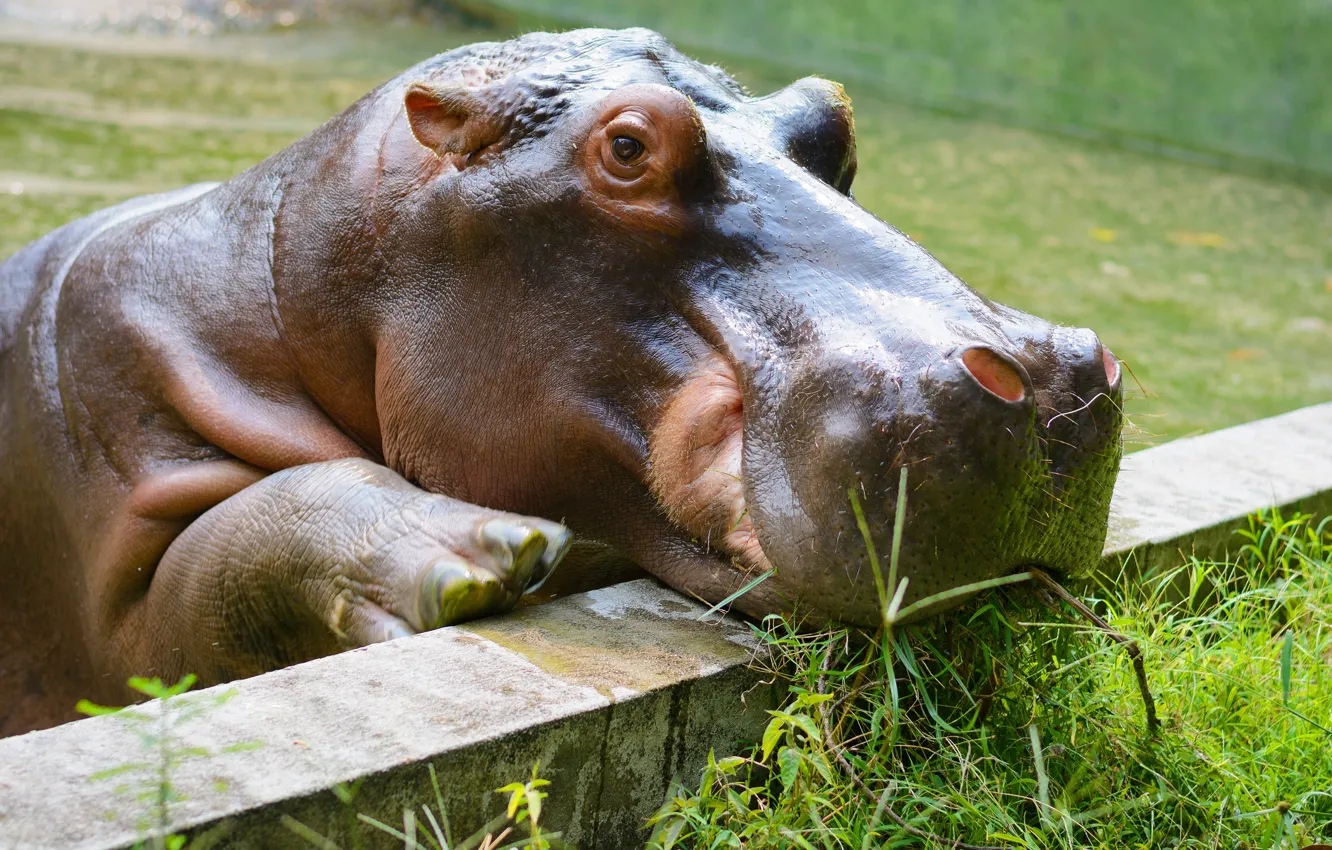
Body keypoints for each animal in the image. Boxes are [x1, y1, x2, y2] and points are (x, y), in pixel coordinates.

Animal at [0, 28, 1122, 736]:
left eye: (830, 118)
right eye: (627, 146)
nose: (1047, 380)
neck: (291, 281)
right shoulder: (120, 526)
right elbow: (219, 561)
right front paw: (478, 556)